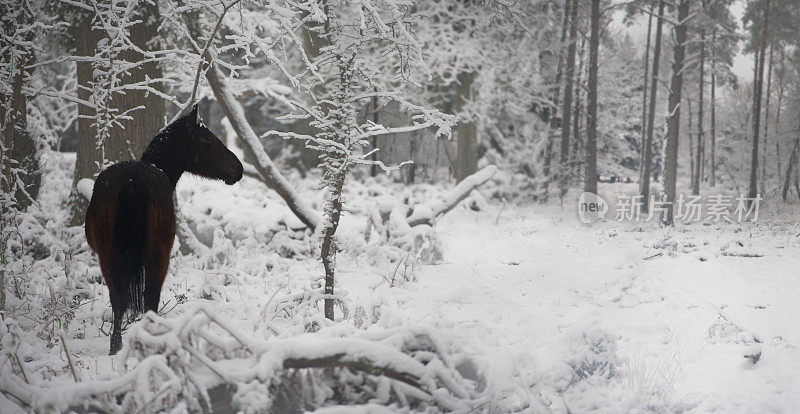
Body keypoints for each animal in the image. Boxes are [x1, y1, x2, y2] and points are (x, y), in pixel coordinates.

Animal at [86, 105, 244, 354]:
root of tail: (134, 180)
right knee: (149, 298)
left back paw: (117, 346)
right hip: (158, 253)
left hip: (109, 254)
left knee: (119, 299)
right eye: (208, 138)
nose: (238, 168)